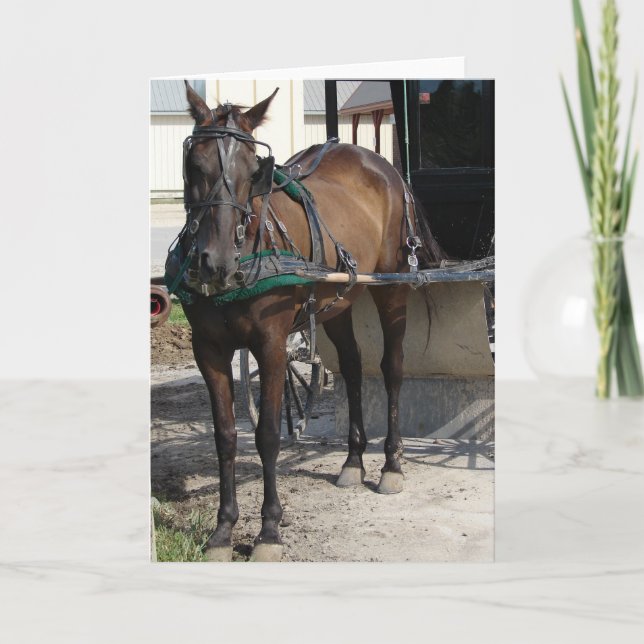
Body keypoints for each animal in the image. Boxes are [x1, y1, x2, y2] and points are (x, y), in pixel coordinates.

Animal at [170, 83, 444, 561]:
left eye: (254, 171)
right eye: (194, 164)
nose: (216, 264)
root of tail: (383, 166)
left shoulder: (272, 344)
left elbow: (266, 435)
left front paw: (269, 530)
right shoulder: (207, 349)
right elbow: (225, 435)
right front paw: (223, 530)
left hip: (392, 287)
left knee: (392, 368)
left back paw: (391, 464)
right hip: (338, 302)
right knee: (352, 367)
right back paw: (353, 460)